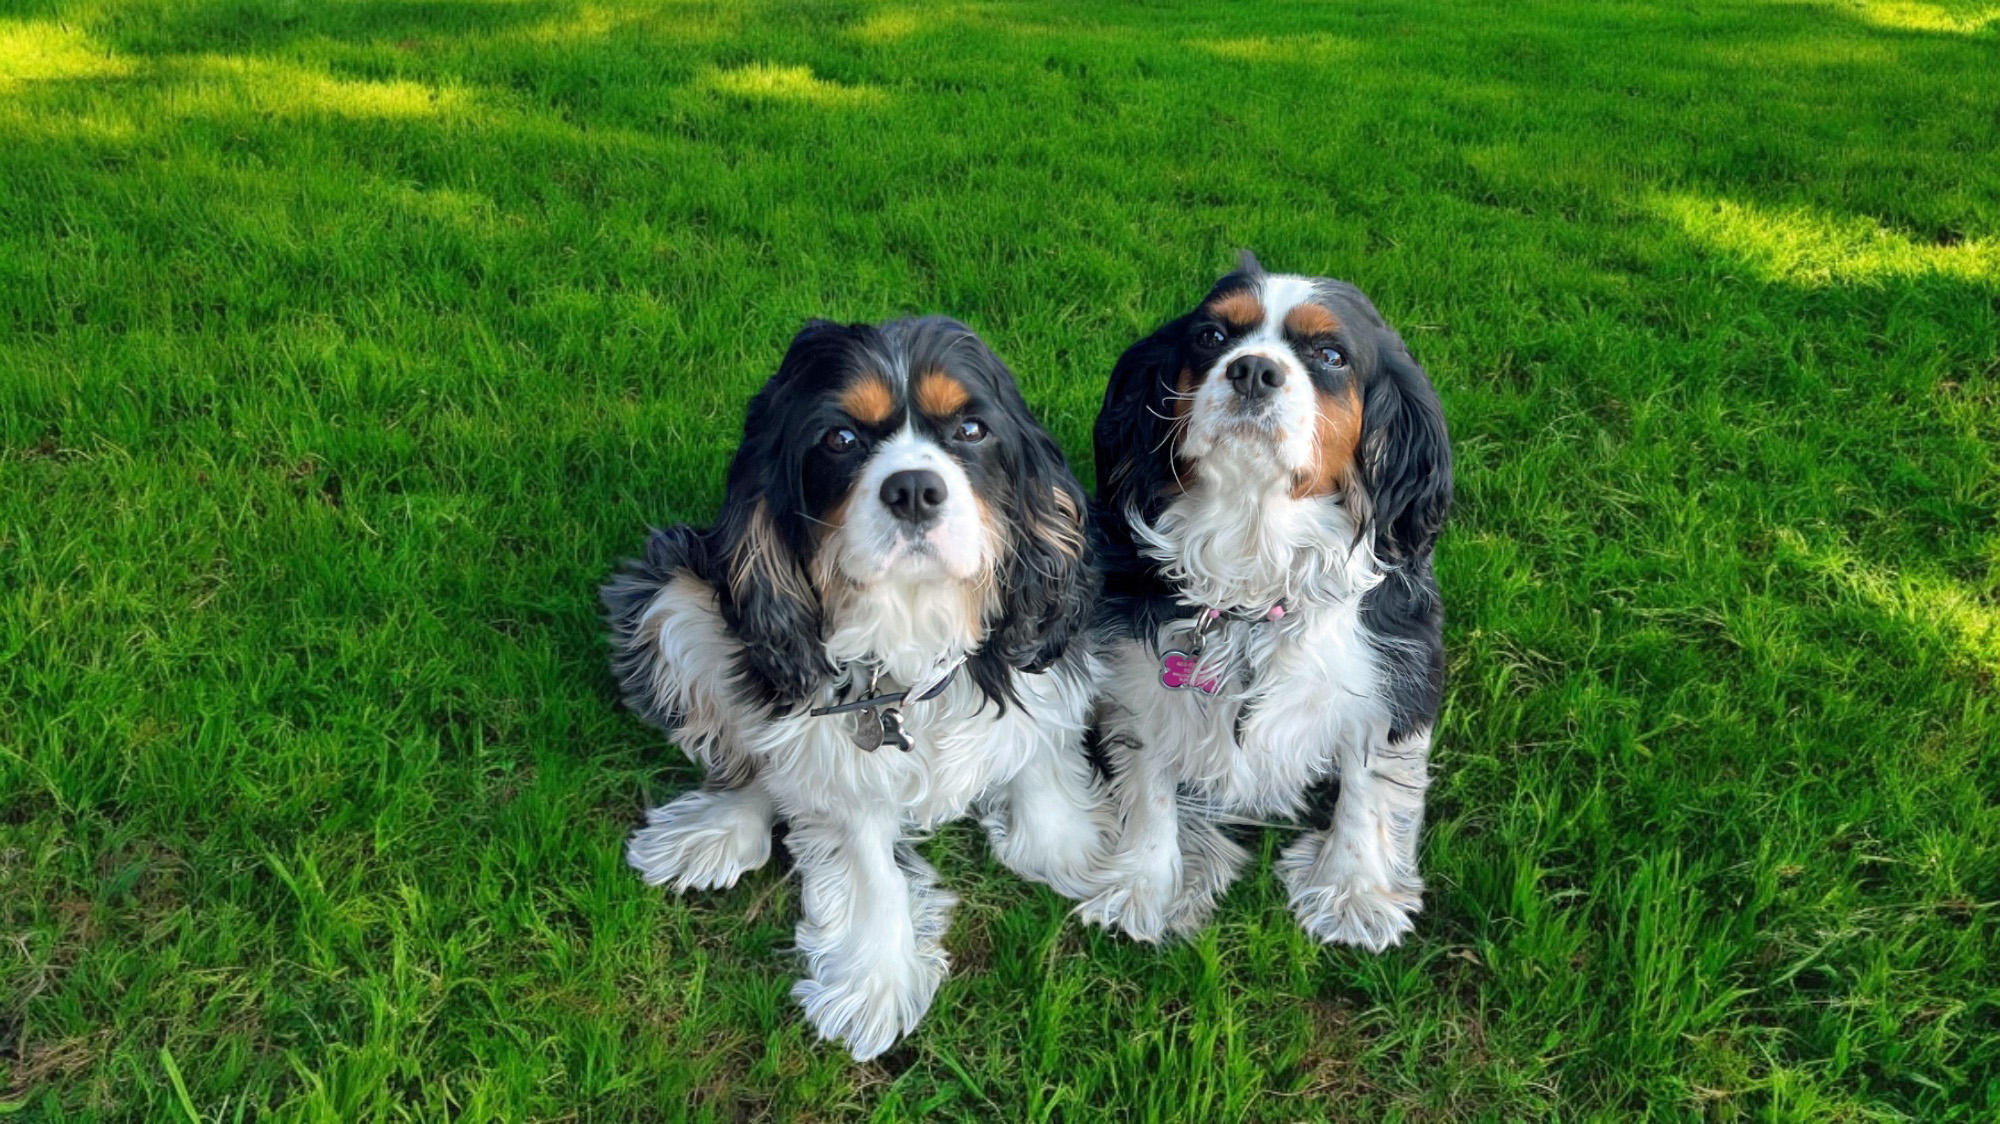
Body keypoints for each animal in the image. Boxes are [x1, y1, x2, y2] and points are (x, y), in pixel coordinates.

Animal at [608, 318, 1112, 1056]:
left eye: (971, 430)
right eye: (840, 439)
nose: (914, 489)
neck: (912, 624)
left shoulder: (1044, 666)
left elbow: (1039, 760)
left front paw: (1087, 856)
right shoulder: (836, 748)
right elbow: (865, 854)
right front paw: (876, 979)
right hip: (676, 595)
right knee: (763, 758)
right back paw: (716, 831)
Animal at [1080, 258, 1456, 948]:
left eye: (1331, 355)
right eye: (1210, 337)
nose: (1253, 369)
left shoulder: (1396, 677)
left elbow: (1368, 787)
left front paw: (1354, 893)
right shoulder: (1134, 677)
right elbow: (1148, 784)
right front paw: (1145, 888)